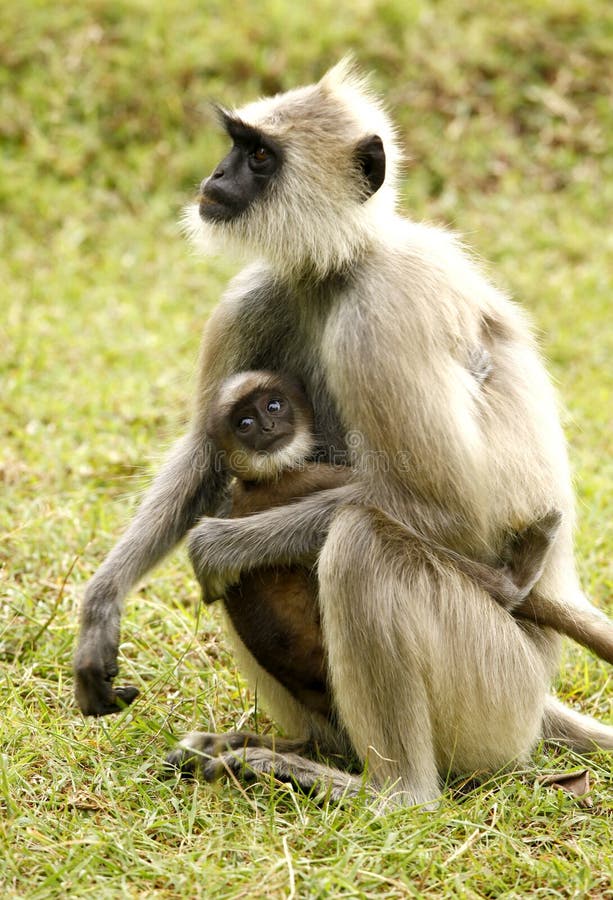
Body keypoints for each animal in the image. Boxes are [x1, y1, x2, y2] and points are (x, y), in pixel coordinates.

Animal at [202, 368, 608, 724]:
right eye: (244, 424)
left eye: (273, 406)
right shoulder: (308, 476)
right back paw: (516, 578)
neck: (257, 483)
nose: (266, 428)